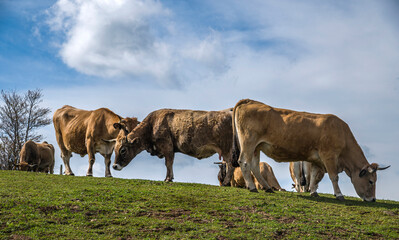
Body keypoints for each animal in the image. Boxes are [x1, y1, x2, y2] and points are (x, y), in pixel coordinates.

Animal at [233, 98, 392, 202]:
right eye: (371, 181)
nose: (373, 199)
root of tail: (250, 101)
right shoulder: (329, 156)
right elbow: (334, 177)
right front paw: (339, 194)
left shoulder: (316, 160)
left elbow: (314, 178)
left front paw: (314, 192)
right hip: (249, 142)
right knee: (244, 162)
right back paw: (252, 186)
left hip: (257, 147)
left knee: (254, 166)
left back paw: (267, 187)